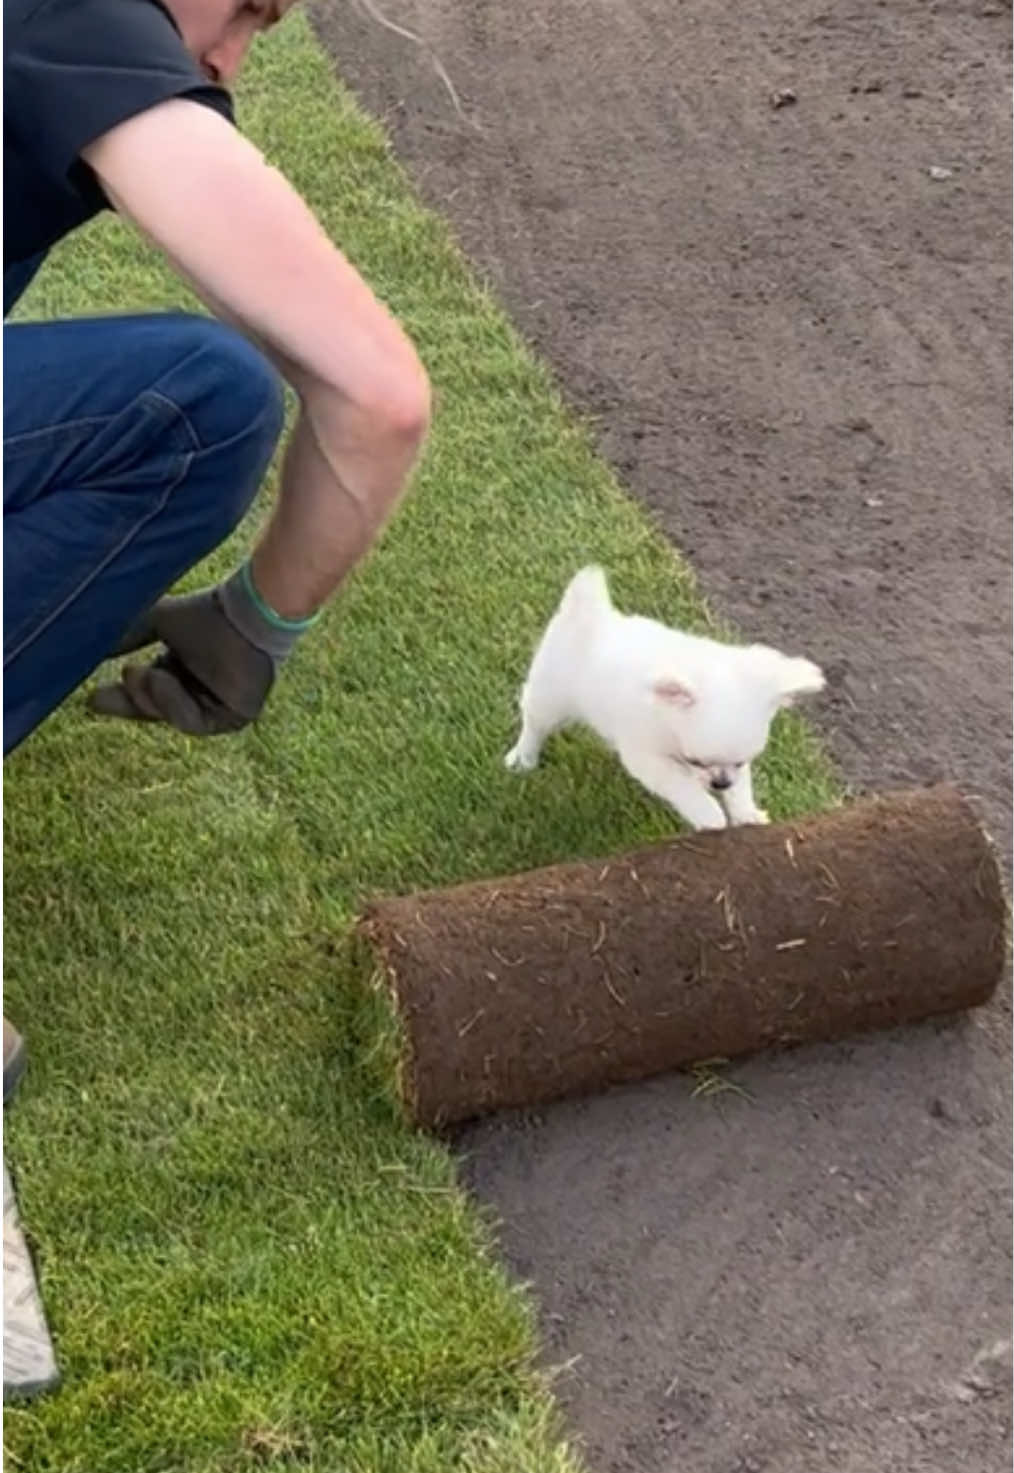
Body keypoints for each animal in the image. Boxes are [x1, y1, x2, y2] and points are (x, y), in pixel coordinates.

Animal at [504, 565, 825, 830]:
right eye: (695, 761)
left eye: (740, 763)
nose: (720, 783)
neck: (670, 726)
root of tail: (596, 616)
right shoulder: (647, 756)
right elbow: (681, 785)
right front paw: (709, 814)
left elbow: (742, 788)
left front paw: (746, 812)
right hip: (550, 693)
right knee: (535, 725)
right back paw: (523, 759)